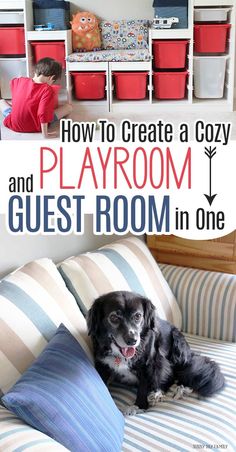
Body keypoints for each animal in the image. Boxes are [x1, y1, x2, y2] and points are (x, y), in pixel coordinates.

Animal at [87, 292, 225, 412]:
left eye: (138, 316)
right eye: (114, 317)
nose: (132, 340)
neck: (122, 356)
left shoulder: (150, 364)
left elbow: (143, 387)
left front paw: (139, 406)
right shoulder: (102, 365)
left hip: (177, 348)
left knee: (179, 373)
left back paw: (173, 390)